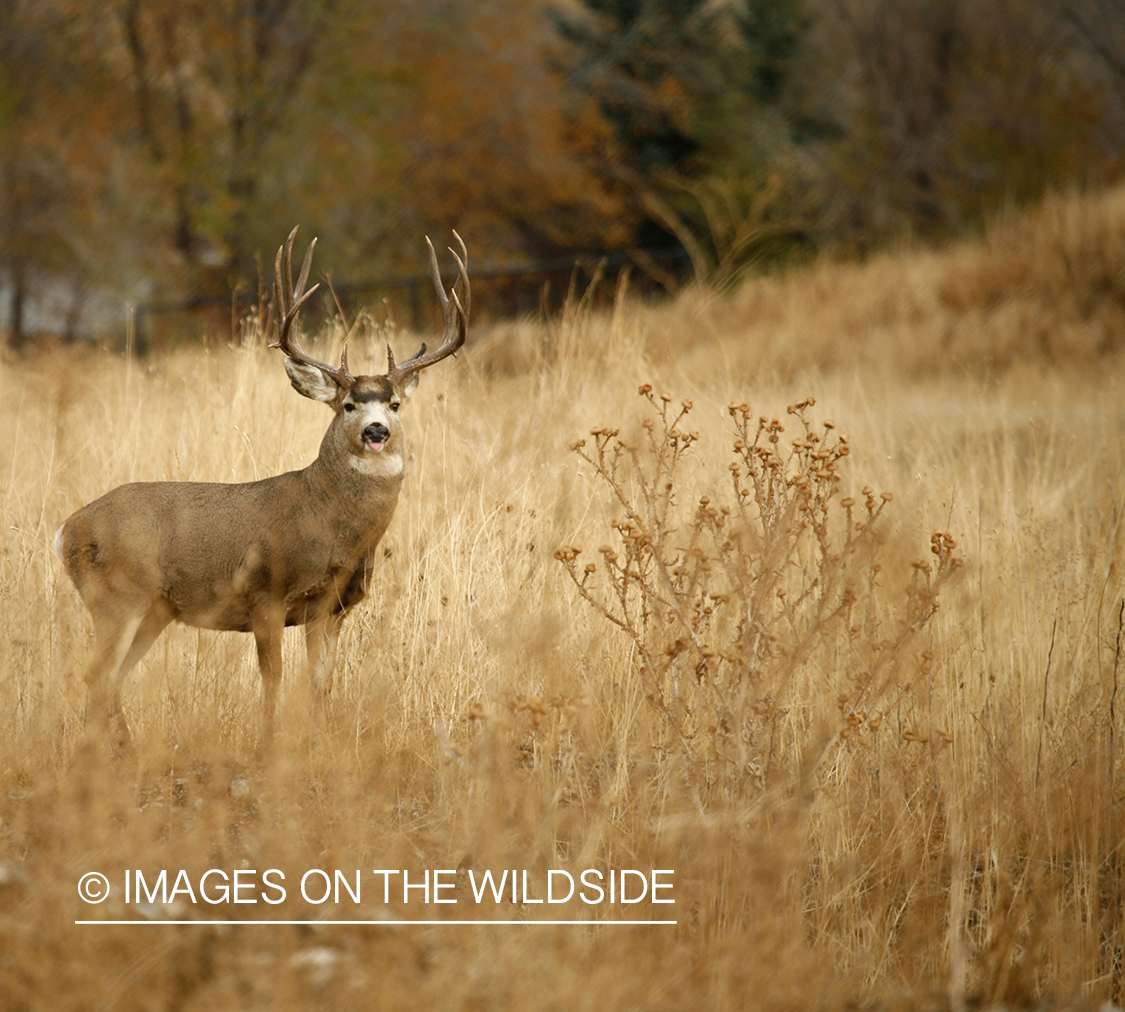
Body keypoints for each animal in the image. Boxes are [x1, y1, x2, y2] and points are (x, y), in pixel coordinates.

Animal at [54, 227, 469, 745]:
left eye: (394, 403)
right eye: (349, 405)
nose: (377, 431)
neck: (329, 522)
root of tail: (65, 530)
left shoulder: (332, 609)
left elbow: (320, 681)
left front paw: (318, 741)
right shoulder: (264, 597)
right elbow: (273, 679)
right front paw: (270, 745)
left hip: (153, 610)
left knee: (110, 678)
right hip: (116, 596)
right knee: (96, 675)